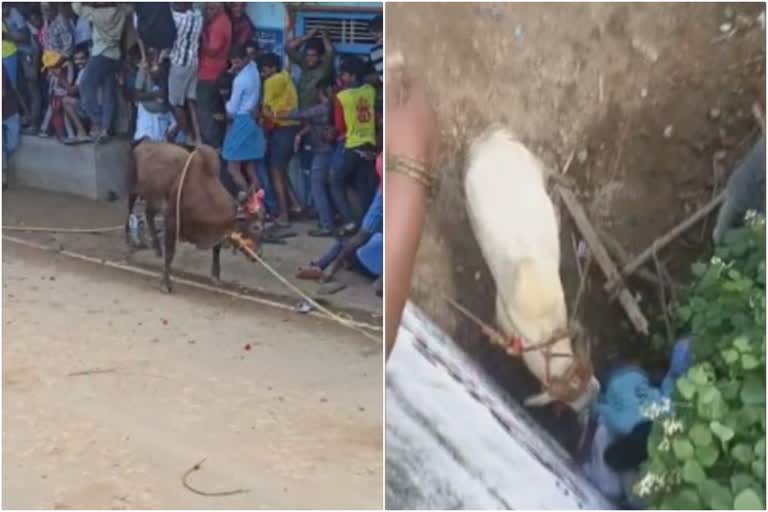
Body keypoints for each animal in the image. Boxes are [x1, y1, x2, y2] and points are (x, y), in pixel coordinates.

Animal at [127, 141, 266, 292]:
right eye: (255, 227)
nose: (259, 254)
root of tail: (142, 144)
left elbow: (216, 249)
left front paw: (215, 277)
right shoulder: (171, 220)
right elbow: (170, 253)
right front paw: (166, 283)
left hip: (153, 199)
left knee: (148, 214)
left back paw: (157, 248)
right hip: (133, 189)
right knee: (130, 211)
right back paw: (129, 240)